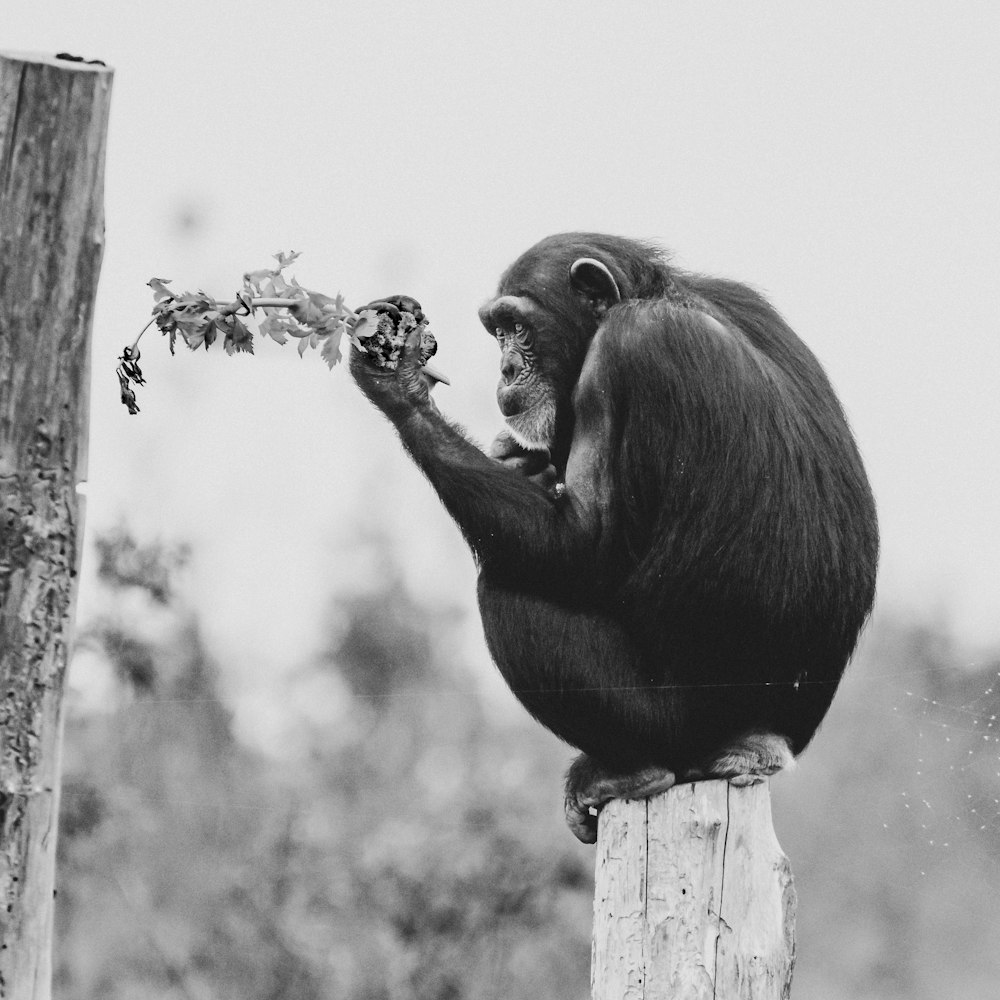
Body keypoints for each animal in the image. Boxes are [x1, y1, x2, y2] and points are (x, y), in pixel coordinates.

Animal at [350, 234, 876, 844]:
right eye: (495, 330)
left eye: (517, 326)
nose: (505, 367)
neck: (651, 296)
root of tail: (770, 744)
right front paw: (516, 459)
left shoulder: (620, 354)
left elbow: (580, 542)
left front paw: (397, 378)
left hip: (669, 723)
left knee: (505, 588)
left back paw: (623, 773)